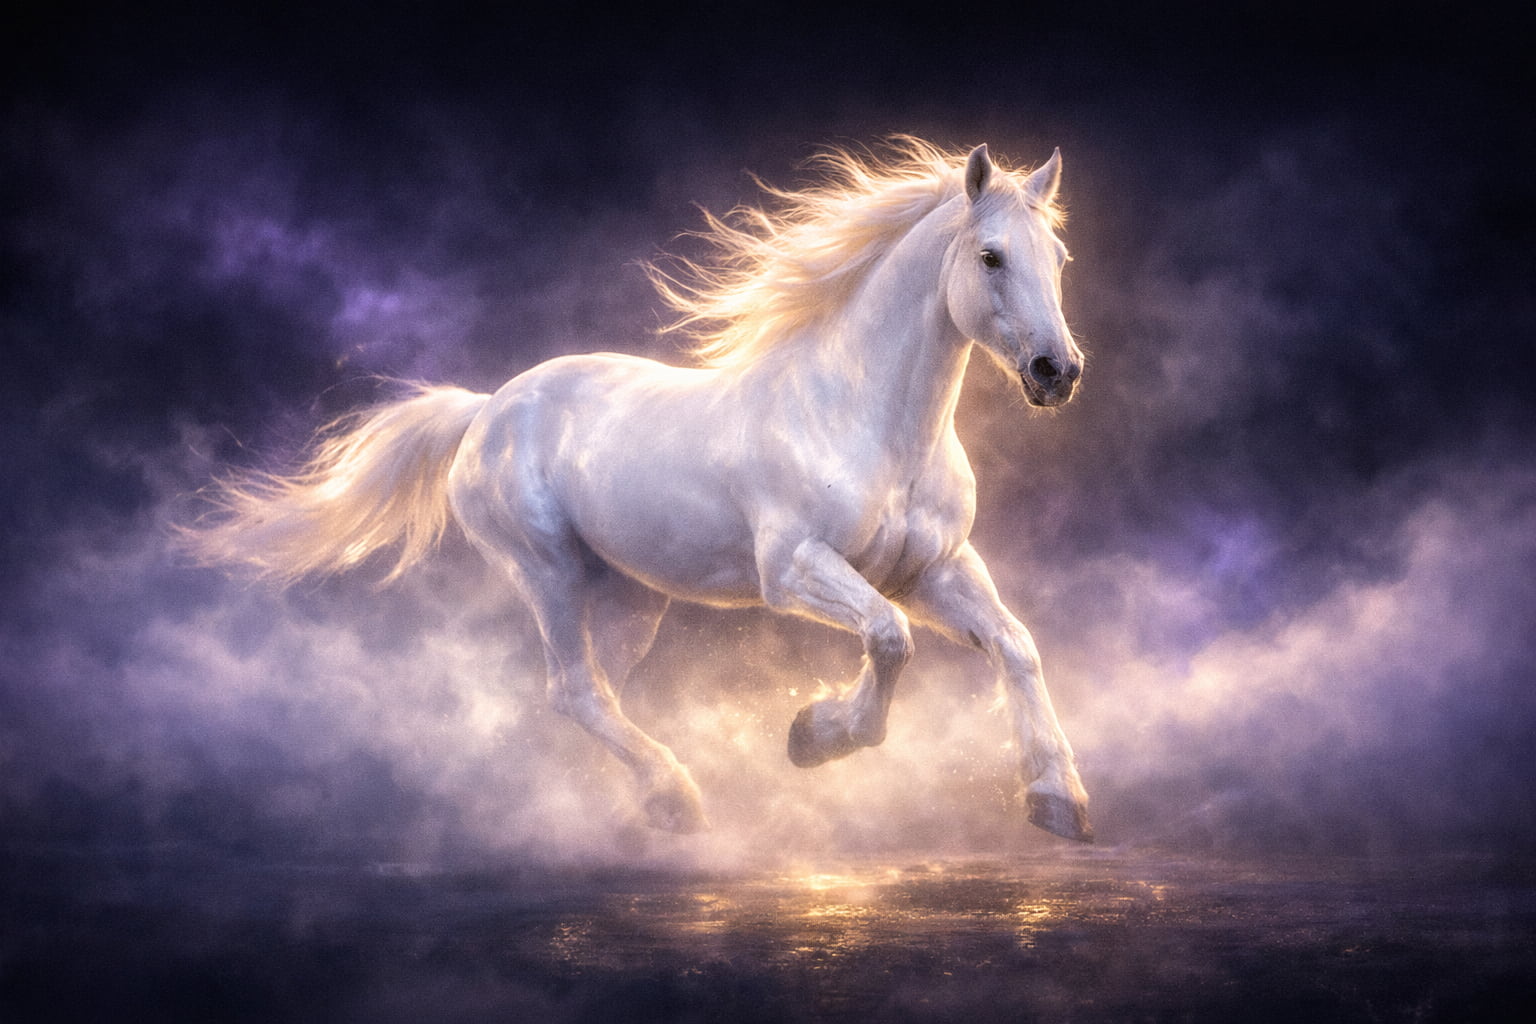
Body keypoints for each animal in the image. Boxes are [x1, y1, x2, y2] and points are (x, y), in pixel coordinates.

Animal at [185, 138, 1094, 843]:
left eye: (1058, 260)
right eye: (990, 257)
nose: (1057, 372)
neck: (868, 420)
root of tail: (486, 409)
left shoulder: (933, 569)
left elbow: (1014, 644)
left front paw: (1059, 802)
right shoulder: (796, 569)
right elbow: (889, 639)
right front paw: (815, 736)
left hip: (628, 597)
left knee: (596, 694)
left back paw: (629, 809)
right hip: (546, 572)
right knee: (573, 689)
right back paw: (674, 799)